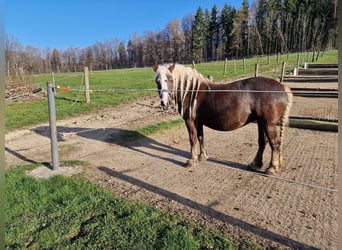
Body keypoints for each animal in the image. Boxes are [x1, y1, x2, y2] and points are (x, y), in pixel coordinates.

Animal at [154, 63, 292, 175]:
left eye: (170, 79)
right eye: (157, 81)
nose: (164, 103)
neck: (192, 91)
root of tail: (283, 88)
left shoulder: (190, 121)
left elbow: (193, 140)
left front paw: (191, 161)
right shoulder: (198, 122)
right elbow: (200, 137)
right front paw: (202, 156)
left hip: (269, 124)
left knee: (275, 143)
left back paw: (272, 168)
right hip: (261, 122)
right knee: (263, 142)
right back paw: (255, 165)